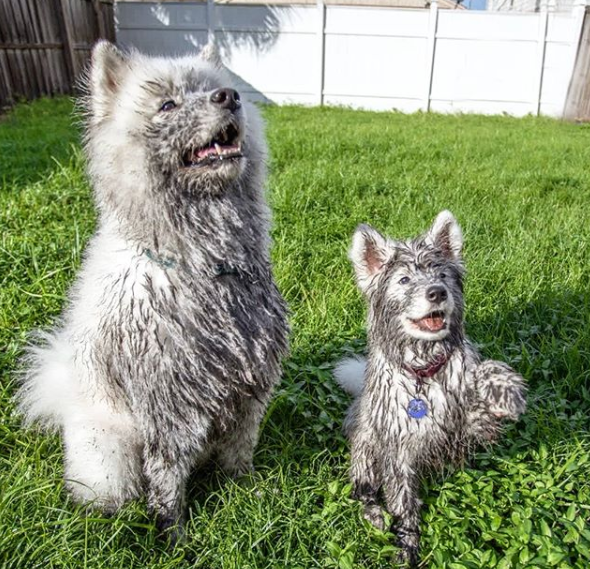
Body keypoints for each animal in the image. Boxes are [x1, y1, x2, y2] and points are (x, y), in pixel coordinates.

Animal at [19, 41, 292, 536]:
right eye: (167, 105)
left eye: (209, 89)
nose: (229, 97)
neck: (204, 263)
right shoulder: (169, 408)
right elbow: (167, 480)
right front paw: (174, 534)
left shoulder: (250, 393)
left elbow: (238, 456)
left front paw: (247, 492)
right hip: (111, 451)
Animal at [336, 212, 528, 564]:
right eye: (404, 280)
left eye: (441, 274)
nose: (437, 292)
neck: (424, 372)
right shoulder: (398, 452)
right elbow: (403, 506)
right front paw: (406, 546)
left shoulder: (473, 430)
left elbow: (482, 378)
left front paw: (502, 388)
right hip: (366, 448)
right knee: (362, 489)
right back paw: (373, 514)